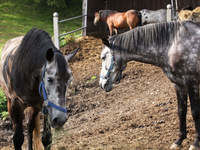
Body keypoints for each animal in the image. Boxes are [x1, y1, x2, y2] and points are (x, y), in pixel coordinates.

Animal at [100, 21, 200, 150]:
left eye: (103, 57)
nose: (102, 84)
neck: (173, 45)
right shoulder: (179, 85)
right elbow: (181, 111)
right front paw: (179, 140)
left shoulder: (192, 84)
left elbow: (195, 112)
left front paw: (196, 143)